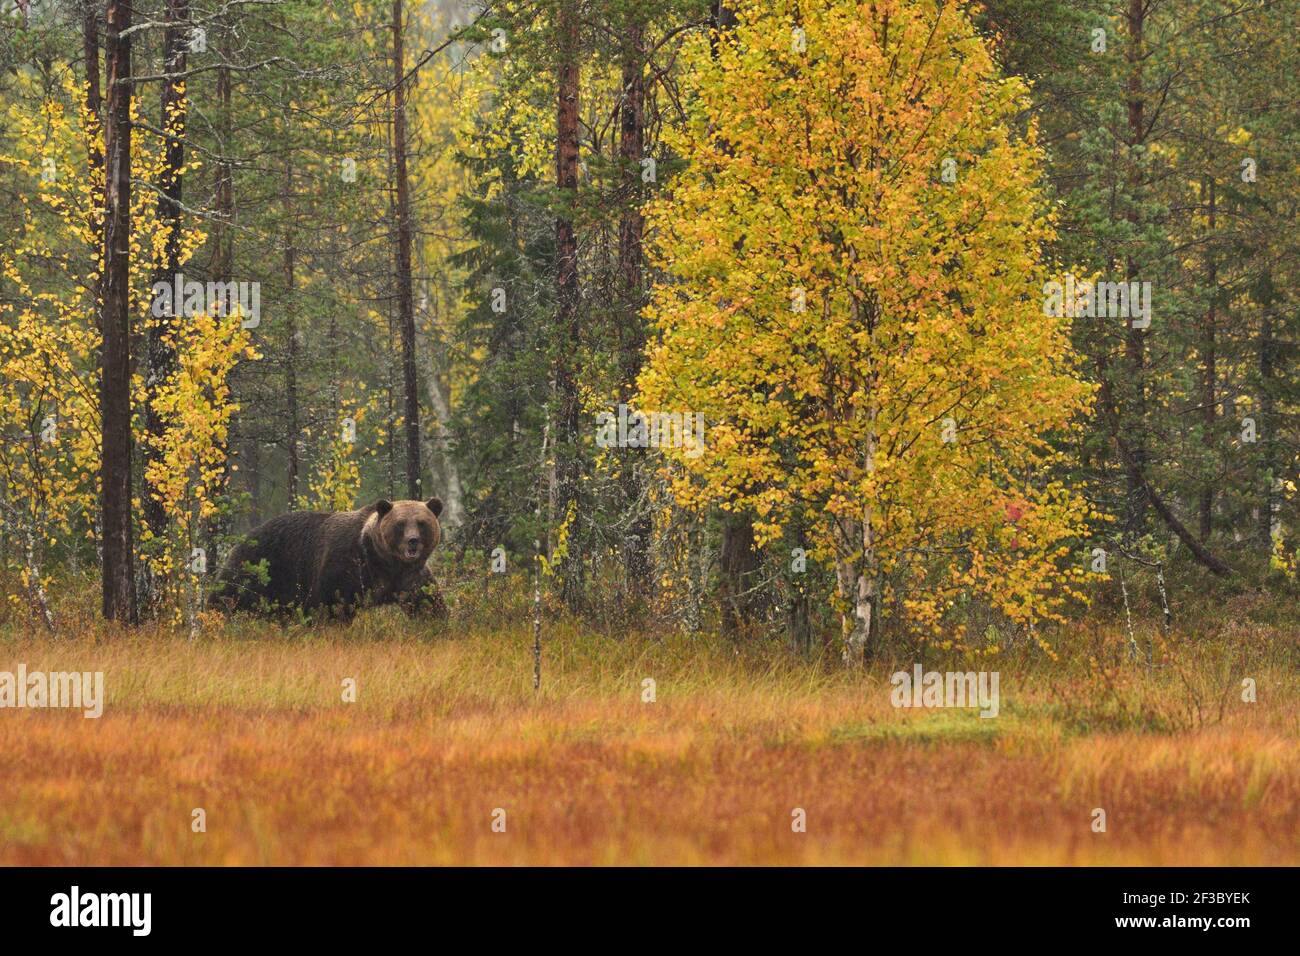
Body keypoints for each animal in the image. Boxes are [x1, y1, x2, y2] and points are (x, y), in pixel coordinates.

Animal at [211, 496, 447, 624]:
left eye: (421, 523)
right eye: (400, 524)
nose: (413, 541)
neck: (383, 562)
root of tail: (243, 537)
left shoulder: (410, 577)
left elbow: (427, 603)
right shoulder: (347, 565)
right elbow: (334, 603)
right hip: (258, 567)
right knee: (228, 596)